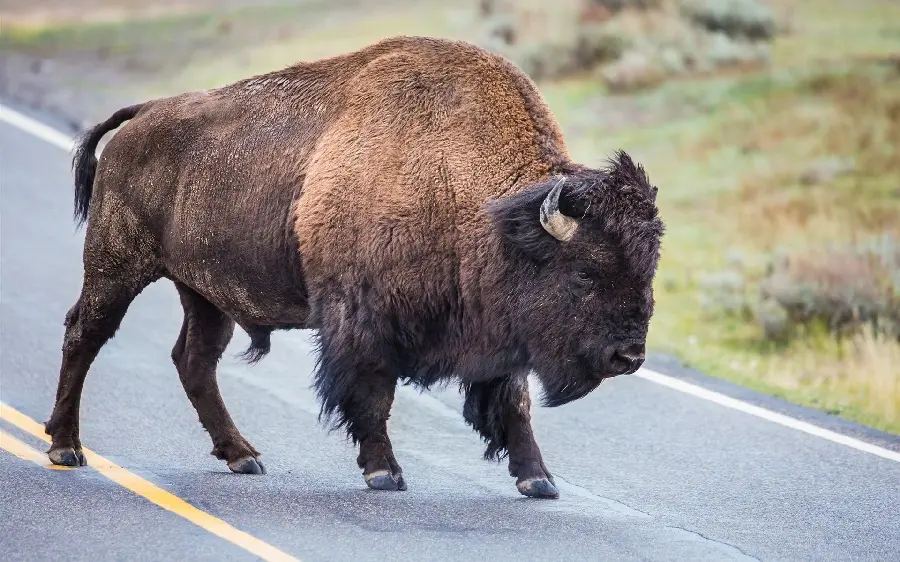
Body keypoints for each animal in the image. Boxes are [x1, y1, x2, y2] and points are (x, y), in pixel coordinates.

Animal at [45, 36, 664, 498]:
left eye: (648, 270)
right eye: (585, 273)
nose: (629, 357)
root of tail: (144, 114)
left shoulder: (500, 335)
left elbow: (514, 403)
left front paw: (539, 481)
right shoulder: (363, 320)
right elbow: (373, 395)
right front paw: (385, 472)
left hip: (204, 293)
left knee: (193, 361)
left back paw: (243, 456)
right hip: (117, 266)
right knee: (85, 334)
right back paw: (65, 446)